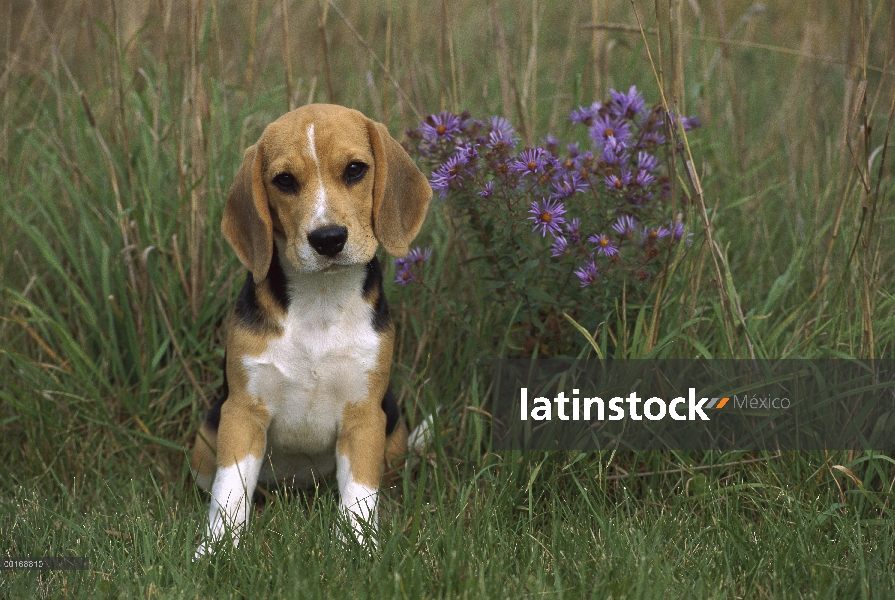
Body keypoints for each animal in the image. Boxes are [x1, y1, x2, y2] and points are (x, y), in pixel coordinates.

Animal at [192, 103, 434, 556]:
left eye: (355, 170)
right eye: (284, 181)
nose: (328, 239)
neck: (320, 298)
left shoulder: (364, 415)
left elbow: (359, 492)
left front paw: (358, 546)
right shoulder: (241, 412)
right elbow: (229, 489)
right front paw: (216, 548)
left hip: (393, 427)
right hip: (205, 436)